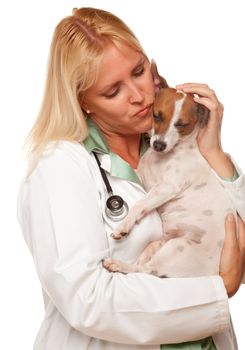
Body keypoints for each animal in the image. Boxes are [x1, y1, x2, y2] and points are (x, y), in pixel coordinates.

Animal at [103, 85, 235, 276]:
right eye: (156, 115)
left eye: (182, 124)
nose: (159, 145)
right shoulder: (144, 178)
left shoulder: (167, 187)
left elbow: (139, 205)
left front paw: (123, 226)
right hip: (155, 245)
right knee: (143, 269)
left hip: (177, 247)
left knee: (147, 270)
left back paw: (117, 264)